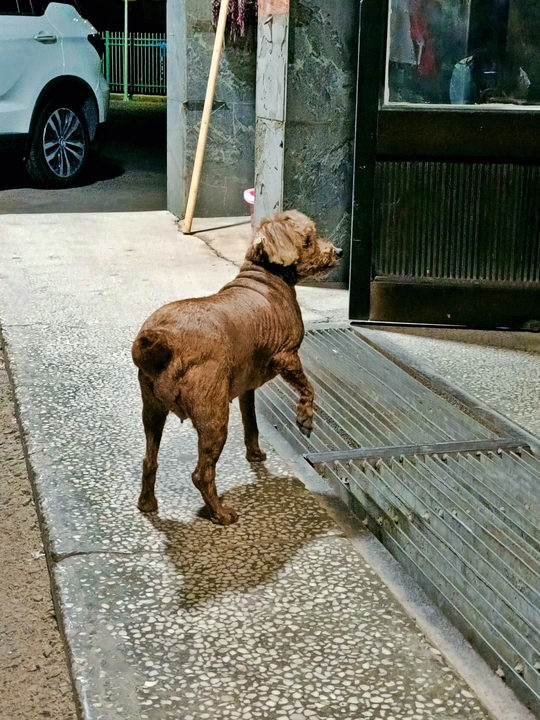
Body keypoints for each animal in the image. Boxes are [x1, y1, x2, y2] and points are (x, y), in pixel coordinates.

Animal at [131, 210, 342, 525]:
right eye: (308, 240)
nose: (338, 252)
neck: (267, 278)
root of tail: (164, 340)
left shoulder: (246, 388)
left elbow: (251, 424)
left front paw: (255, 454)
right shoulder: (286, 357)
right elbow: (308, 387)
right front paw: (305, 419)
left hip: (153, 411)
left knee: (149, 460)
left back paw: (147, 504)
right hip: (214, 417)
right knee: (201, 474)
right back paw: (220, 513)